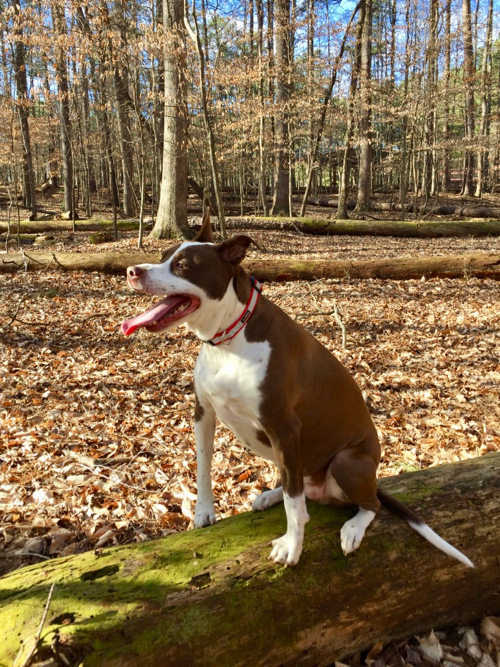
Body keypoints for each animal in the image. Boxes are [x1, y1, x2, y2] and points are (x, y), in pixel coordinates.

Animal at [121, 213, 472, 568]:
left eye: (182, 265)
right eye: (164, 256)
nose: (132, 270)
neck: (231, 338)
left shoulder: (285, 429)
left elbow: (294, 504)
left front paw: (292, 546)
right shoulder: (204, 413)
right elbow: (204, 467)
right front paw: (203, 513)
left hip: (346, 461)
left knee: (366, 503)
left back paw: (353, 527)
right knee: (296, 484)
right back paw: (272, 495)